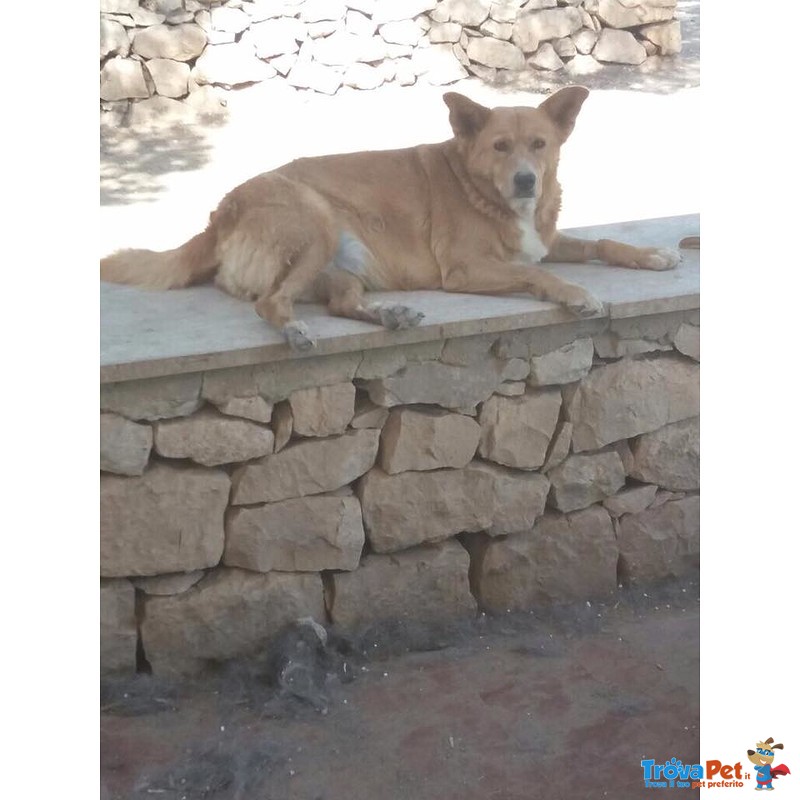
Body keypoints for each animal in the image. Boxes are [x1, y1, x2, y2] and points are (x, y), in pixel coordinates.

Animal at [101, 86, 680, 352]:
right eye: (500, 146)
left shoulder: (544, 239)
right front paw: (577, 295)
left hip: (339, 267)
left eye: (539, 144)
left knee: (341, 303)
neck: (487, 194)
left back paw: (390, 315)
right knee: (271, 303)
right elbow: (537, 274)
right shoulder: (466, 269)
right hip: (315, 222)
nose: (525, 181)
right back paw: (296, 332)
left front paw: (651, 255)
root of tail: (220, 211)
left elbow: (601, 244)